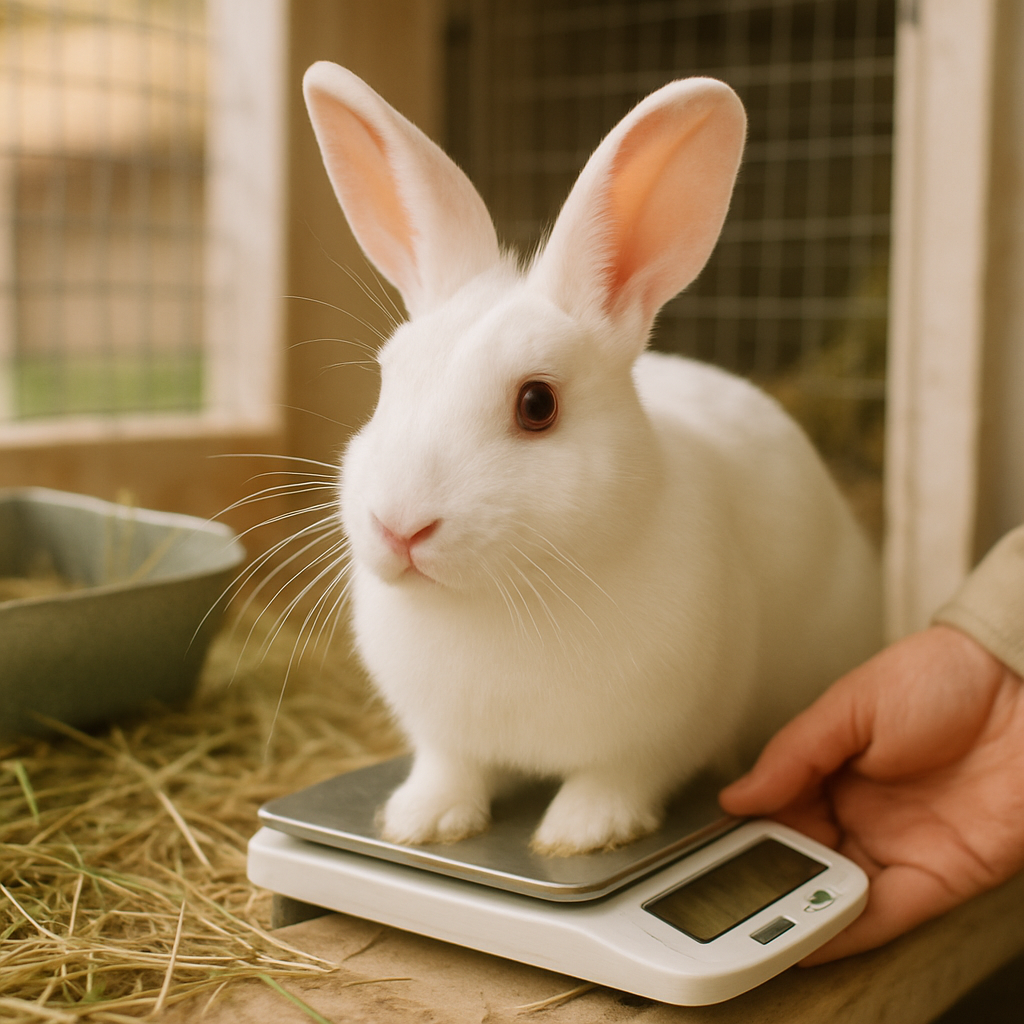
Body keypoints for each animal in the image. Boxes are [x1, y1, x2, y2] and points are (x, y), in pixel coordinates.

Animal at [302, 61, 882, 856]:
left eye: (537, 404)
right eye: (388, 378)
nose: (399, 527)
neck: (497, 600)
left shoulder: (659, 734)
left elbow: (616, 776)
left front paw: (580, 833)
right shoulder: (444, 734)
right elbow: (451, 766)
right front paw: (421, 820)